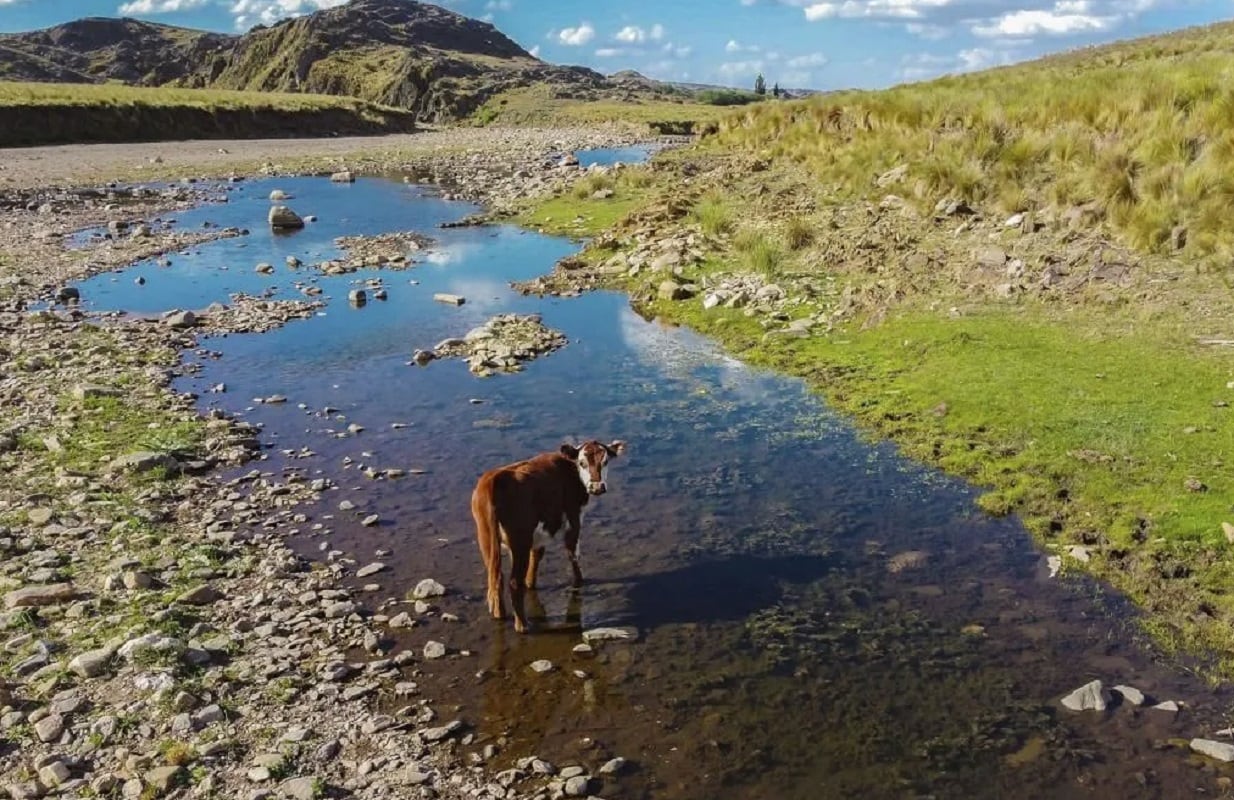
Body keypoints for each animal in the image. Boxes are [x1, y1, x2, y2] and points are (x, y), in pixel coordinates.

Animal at [471, 437, 626, 632]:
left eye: (605, 462)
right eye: (582, 463)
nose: (597, 487)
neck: (570, 471)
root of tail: (495, 479)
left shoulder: (540, 532)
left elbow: (537, 555)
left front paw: (531, 583)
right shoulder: (574, 518)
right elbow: (572, 553)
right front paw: (579, 581)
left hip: (486, 537)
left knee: (496, 577)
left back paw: (500, 615)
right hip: (520, 540)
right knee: (513, 582)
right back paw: (522, 625)